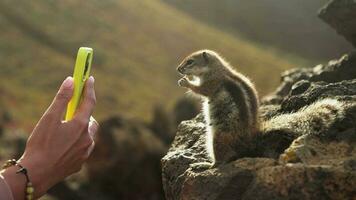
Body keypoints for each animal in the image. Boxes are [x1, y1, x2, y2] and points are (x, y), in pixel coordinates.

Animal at [177, 49, 344, 167]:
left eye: (190, 62)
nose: (178, 69)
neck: (216, 69)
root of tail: (250, 141)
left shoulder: (212, 83)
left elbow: (201, 90)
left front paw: (185, 82)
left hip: (219, 138)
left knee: (222, 160)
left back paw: (205, 164)